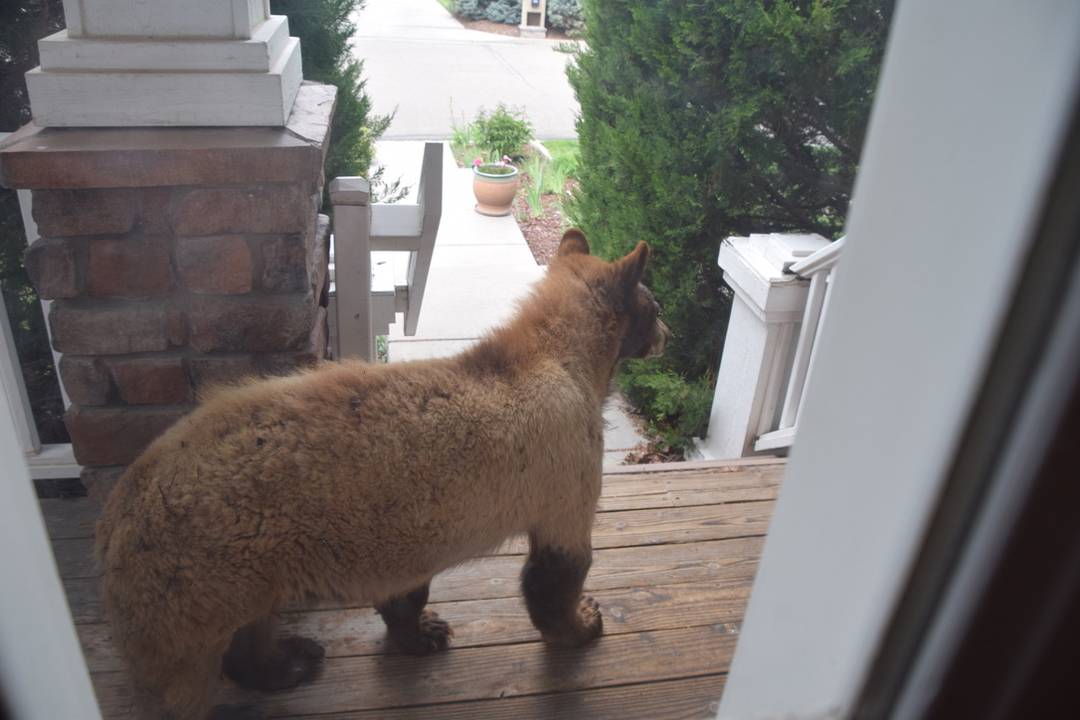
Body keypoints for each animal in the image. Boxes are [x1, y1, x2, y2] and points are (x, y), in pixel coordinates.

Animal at [95, 228, 670, 719]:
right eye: (656, 305)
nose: (666, 333)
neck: (567, 362)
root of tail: (115, 520)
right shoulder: (566, 474)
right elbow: (555, 575)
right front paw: (584, 622)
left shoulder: (414, 530)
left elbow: (407, 592)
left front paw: (422, 631)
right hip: (194, 585)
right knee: (186, 680)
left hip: (244, 572)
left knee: (248, 630)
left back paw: (290, 661)